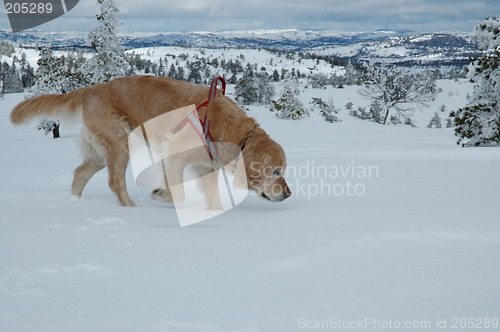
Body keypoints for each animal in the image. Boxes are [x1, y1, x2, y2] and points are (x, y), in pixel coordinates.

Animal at [9, 76, 292, 209]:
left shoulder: (207, 165)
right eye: (276, 172)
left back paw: (75, 202)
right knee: (114, 182)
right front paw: (162, 195)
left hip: (102, 150)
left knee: (80, 172)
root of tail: (93, 89)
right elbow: (177, 191)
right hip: (121, 143)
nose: (288, 194)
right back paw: (132, 209)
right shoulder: (175, 153)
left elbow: (212, 196)